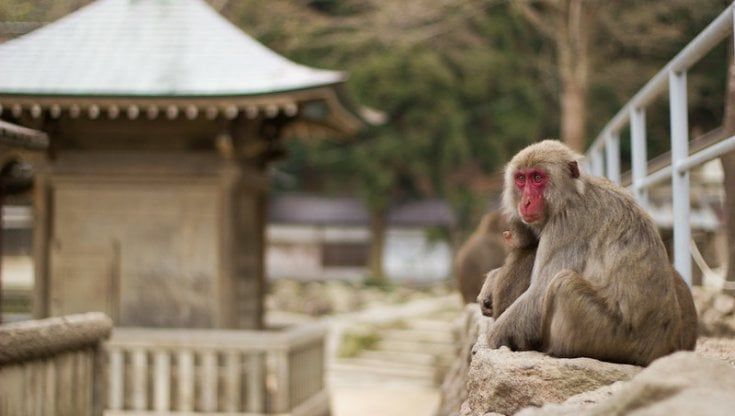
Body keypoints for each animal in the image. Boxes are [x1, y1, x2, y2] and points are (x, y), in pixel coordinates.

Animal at [485, 140, 697, 366]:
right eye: (521, 179)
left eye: (537, 178)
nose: (525, 201)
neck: (570, 196)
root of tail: (660, 348)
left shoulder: (567, 224)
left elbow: (539, 295)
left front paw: (494, 337)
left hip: (612, 335)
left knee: (563, 283)